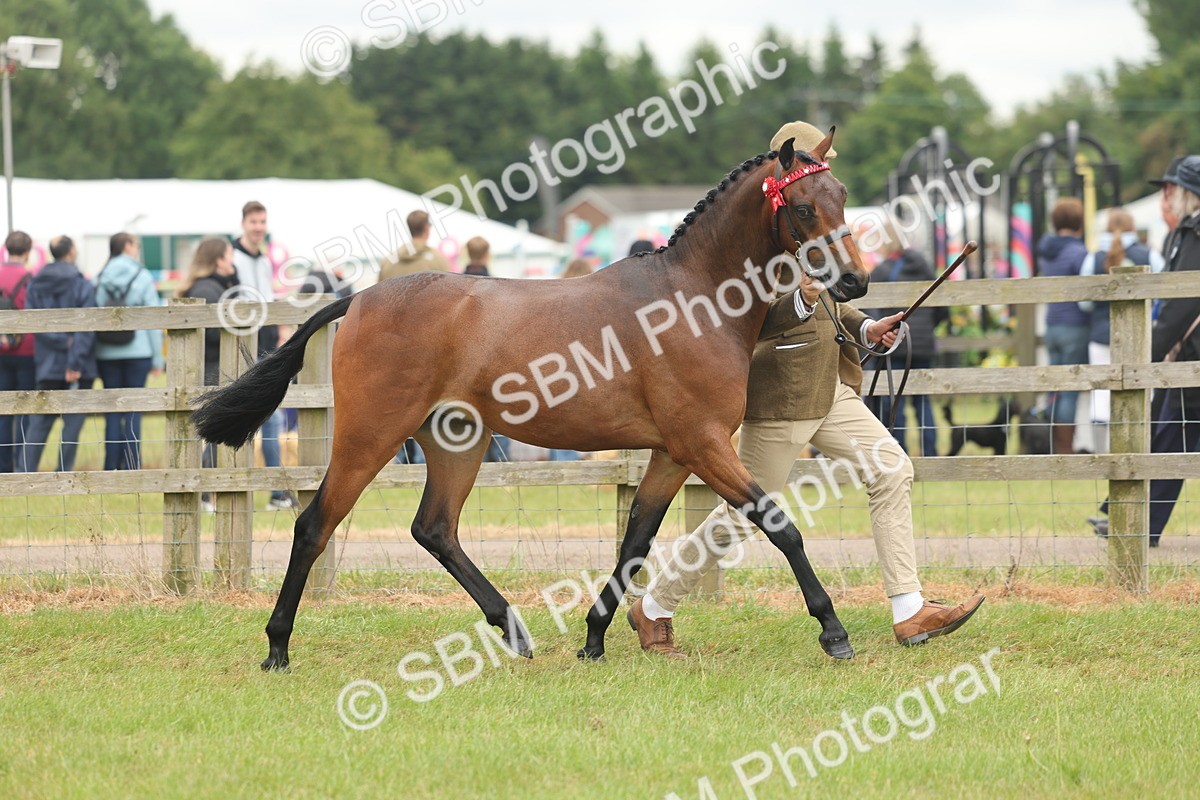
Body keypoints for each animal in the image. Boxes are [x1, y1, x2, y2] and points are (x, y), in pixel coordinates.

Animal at [192, 130, 870, 670]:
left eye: (843, 197)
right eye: (804, 206)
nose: (856, 281)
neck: (692, 298)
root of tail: (358, 298)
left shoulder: (673, 453)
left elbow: (635, 541)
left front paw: (594, 638)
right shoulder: (701, 444)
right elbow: (780, 527)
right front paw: (833, 631)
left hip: (456, 442)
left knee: (434, 528)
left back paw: (513, 630)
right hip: (370, 435)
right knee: (315, 524)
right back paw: (278, 647)